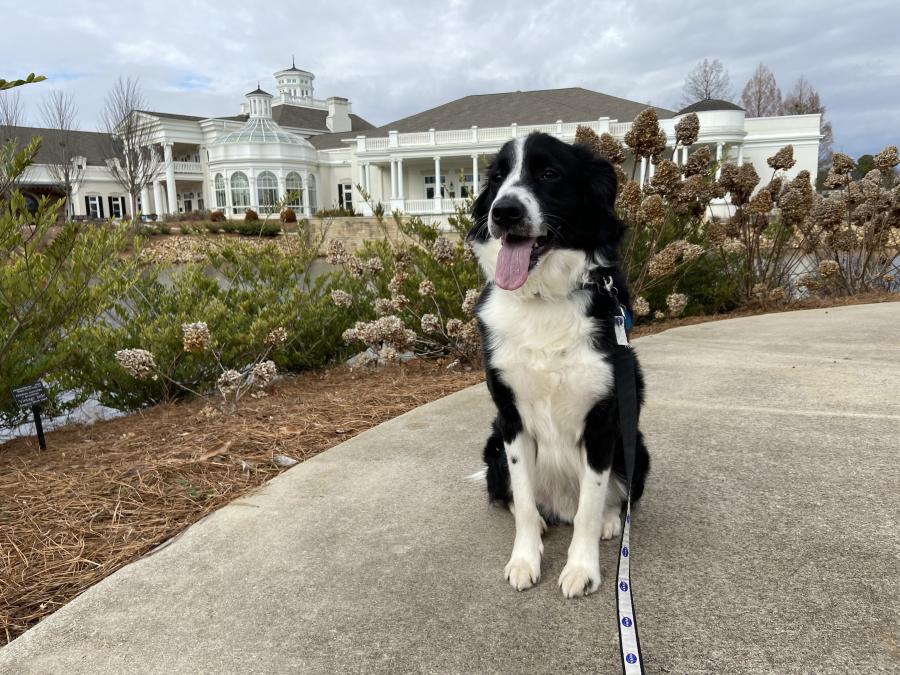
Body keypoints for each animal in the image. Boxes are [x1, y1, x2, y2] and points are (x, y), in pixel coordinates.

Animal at [468, 132, 652, 596]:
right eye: (496, 178)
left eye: (550, 174)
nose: (504, 212)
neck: (543, 298)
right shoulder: (511, 420)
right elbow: (522, 497)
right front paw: (524, 559)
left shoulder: (603, 423)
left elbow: (590, 504)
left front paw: (582, 569)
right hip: (492, 445)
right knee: (521, 502)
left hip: (637, 445)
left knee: (609, 499)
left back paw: (609, 521)